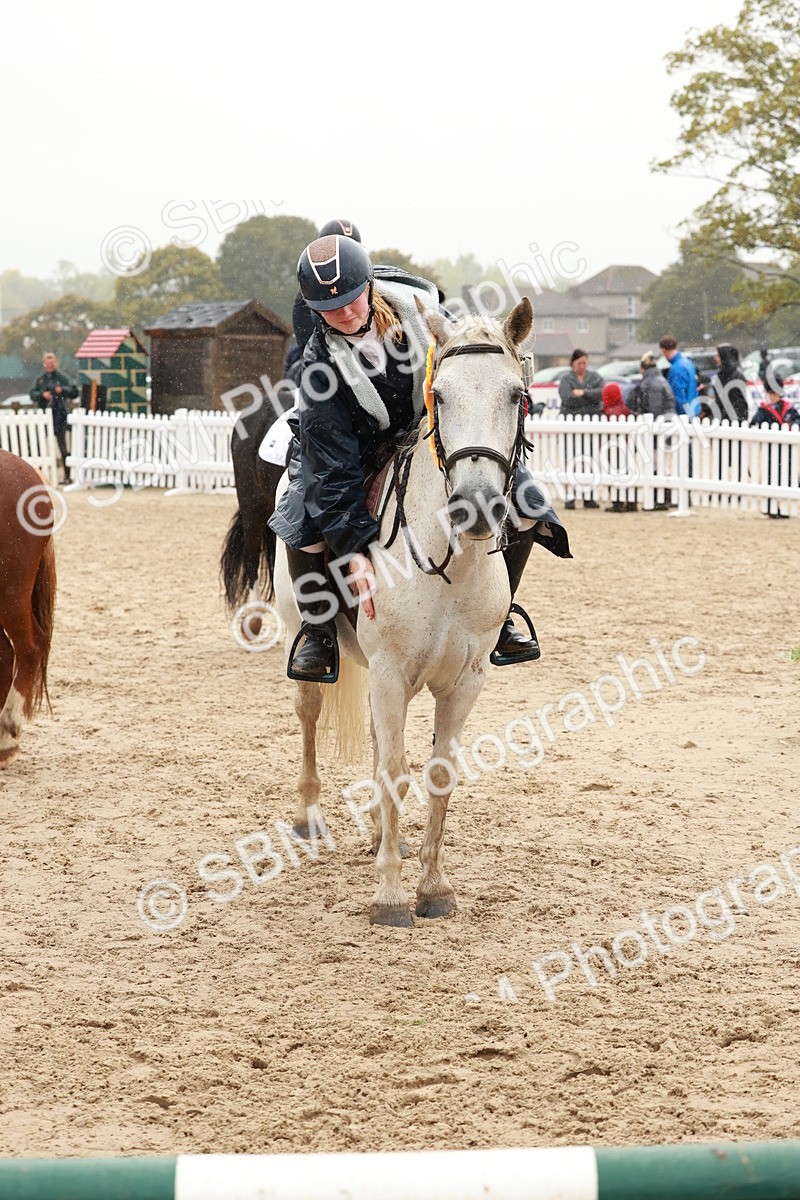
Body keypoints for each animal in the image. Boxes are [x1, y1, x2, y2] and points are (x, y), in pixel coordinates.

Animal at [250, 295, 535, 927]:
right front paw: (388, 897)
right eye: (442, 396)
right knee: (310, 714)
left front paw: (432, 886)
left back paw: (390, 838)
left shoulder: (465, 679)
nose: (476, 505)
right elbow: (395, 773)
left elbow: (437, 773)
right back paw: (310, 817)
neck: (450, 563)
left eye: (515, 395)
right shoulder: (388, 672)